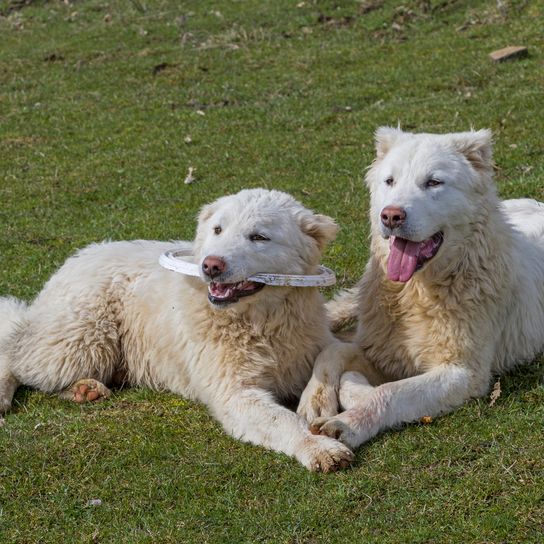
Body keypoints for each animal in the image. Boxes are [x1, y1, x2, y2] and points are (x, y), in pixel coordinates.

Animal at [0, 189, 352, 470]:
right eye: (218, 230)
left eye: (259, 237)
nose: (211, 265)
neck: (262, 321)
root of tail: (78, 256)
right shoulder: (235, 394)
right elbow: (284, 421)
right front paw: (319, 447)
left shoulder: (314, 338)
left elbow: (336, 349)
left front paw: (316, 401)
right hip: (82, 338)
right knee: (15, 351)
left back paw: (84, 390)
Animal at [298, 129, 544, 450]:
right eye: (390, 181)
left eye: (433, 182)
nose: (391, 216)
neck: (418, 292)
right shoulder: (381, 348)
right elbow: (334, 350)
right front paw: (314, 399)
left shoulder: (462, 372)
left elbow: (389, 391)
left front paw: (348, 423)